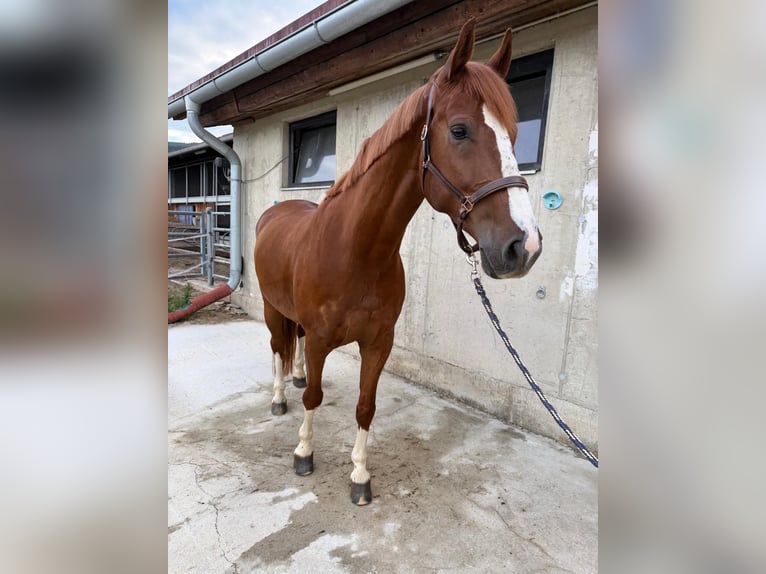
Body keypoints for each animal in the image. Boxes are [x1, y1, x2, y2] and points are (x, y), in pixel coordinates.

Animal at [254, 18, 542, 506]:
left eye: (515, 137)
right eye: (460, 131)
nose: (525, 246)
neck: (355, 253)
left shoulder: (378, 343)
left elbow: (365, 407)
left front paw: (359, 475)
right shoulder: (320, 341)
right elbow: (314, 398)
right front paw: (303, 453)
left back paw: (293, 380)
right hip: (273, 309)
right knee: (278, 348)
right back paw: (278, 397)